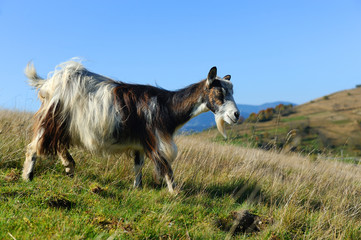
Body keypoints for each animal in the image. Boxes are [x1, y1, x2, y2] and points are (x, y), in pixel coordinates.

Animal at [22, 60, 239, 193]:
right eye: (219, 93)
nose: (236, 115)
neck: (165, 106)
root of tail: (48, 82)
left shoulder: (140, 143)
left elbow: (138, 165)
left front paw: (137, 187)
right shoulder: (155, 139)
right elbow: (167, 167)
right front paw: (175, 193)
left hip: (63, 124)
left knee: (57, 144)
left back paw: (69, 166)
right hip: (52, 118)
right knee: (34, 146)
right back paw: (27, 176)